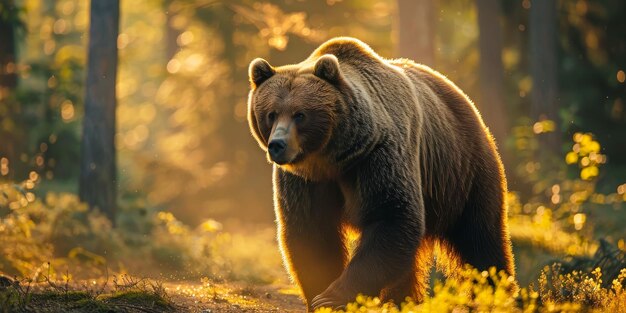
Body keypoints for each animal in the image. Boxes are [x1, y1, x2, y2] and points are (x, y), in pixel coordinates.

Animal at [244, 37, 512, 310]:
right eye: (271, 114)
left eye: (300, 114)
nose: (278, 145)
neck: (334, 157)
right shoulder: (305, 180)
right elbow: (311, 232)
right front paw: (320, 295)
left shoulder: (378, 158)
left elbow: (391, 216)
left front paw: (334, 296)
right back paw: (403, 299)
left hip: (463, 172)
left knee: (480, 238)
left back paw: (495, 294)